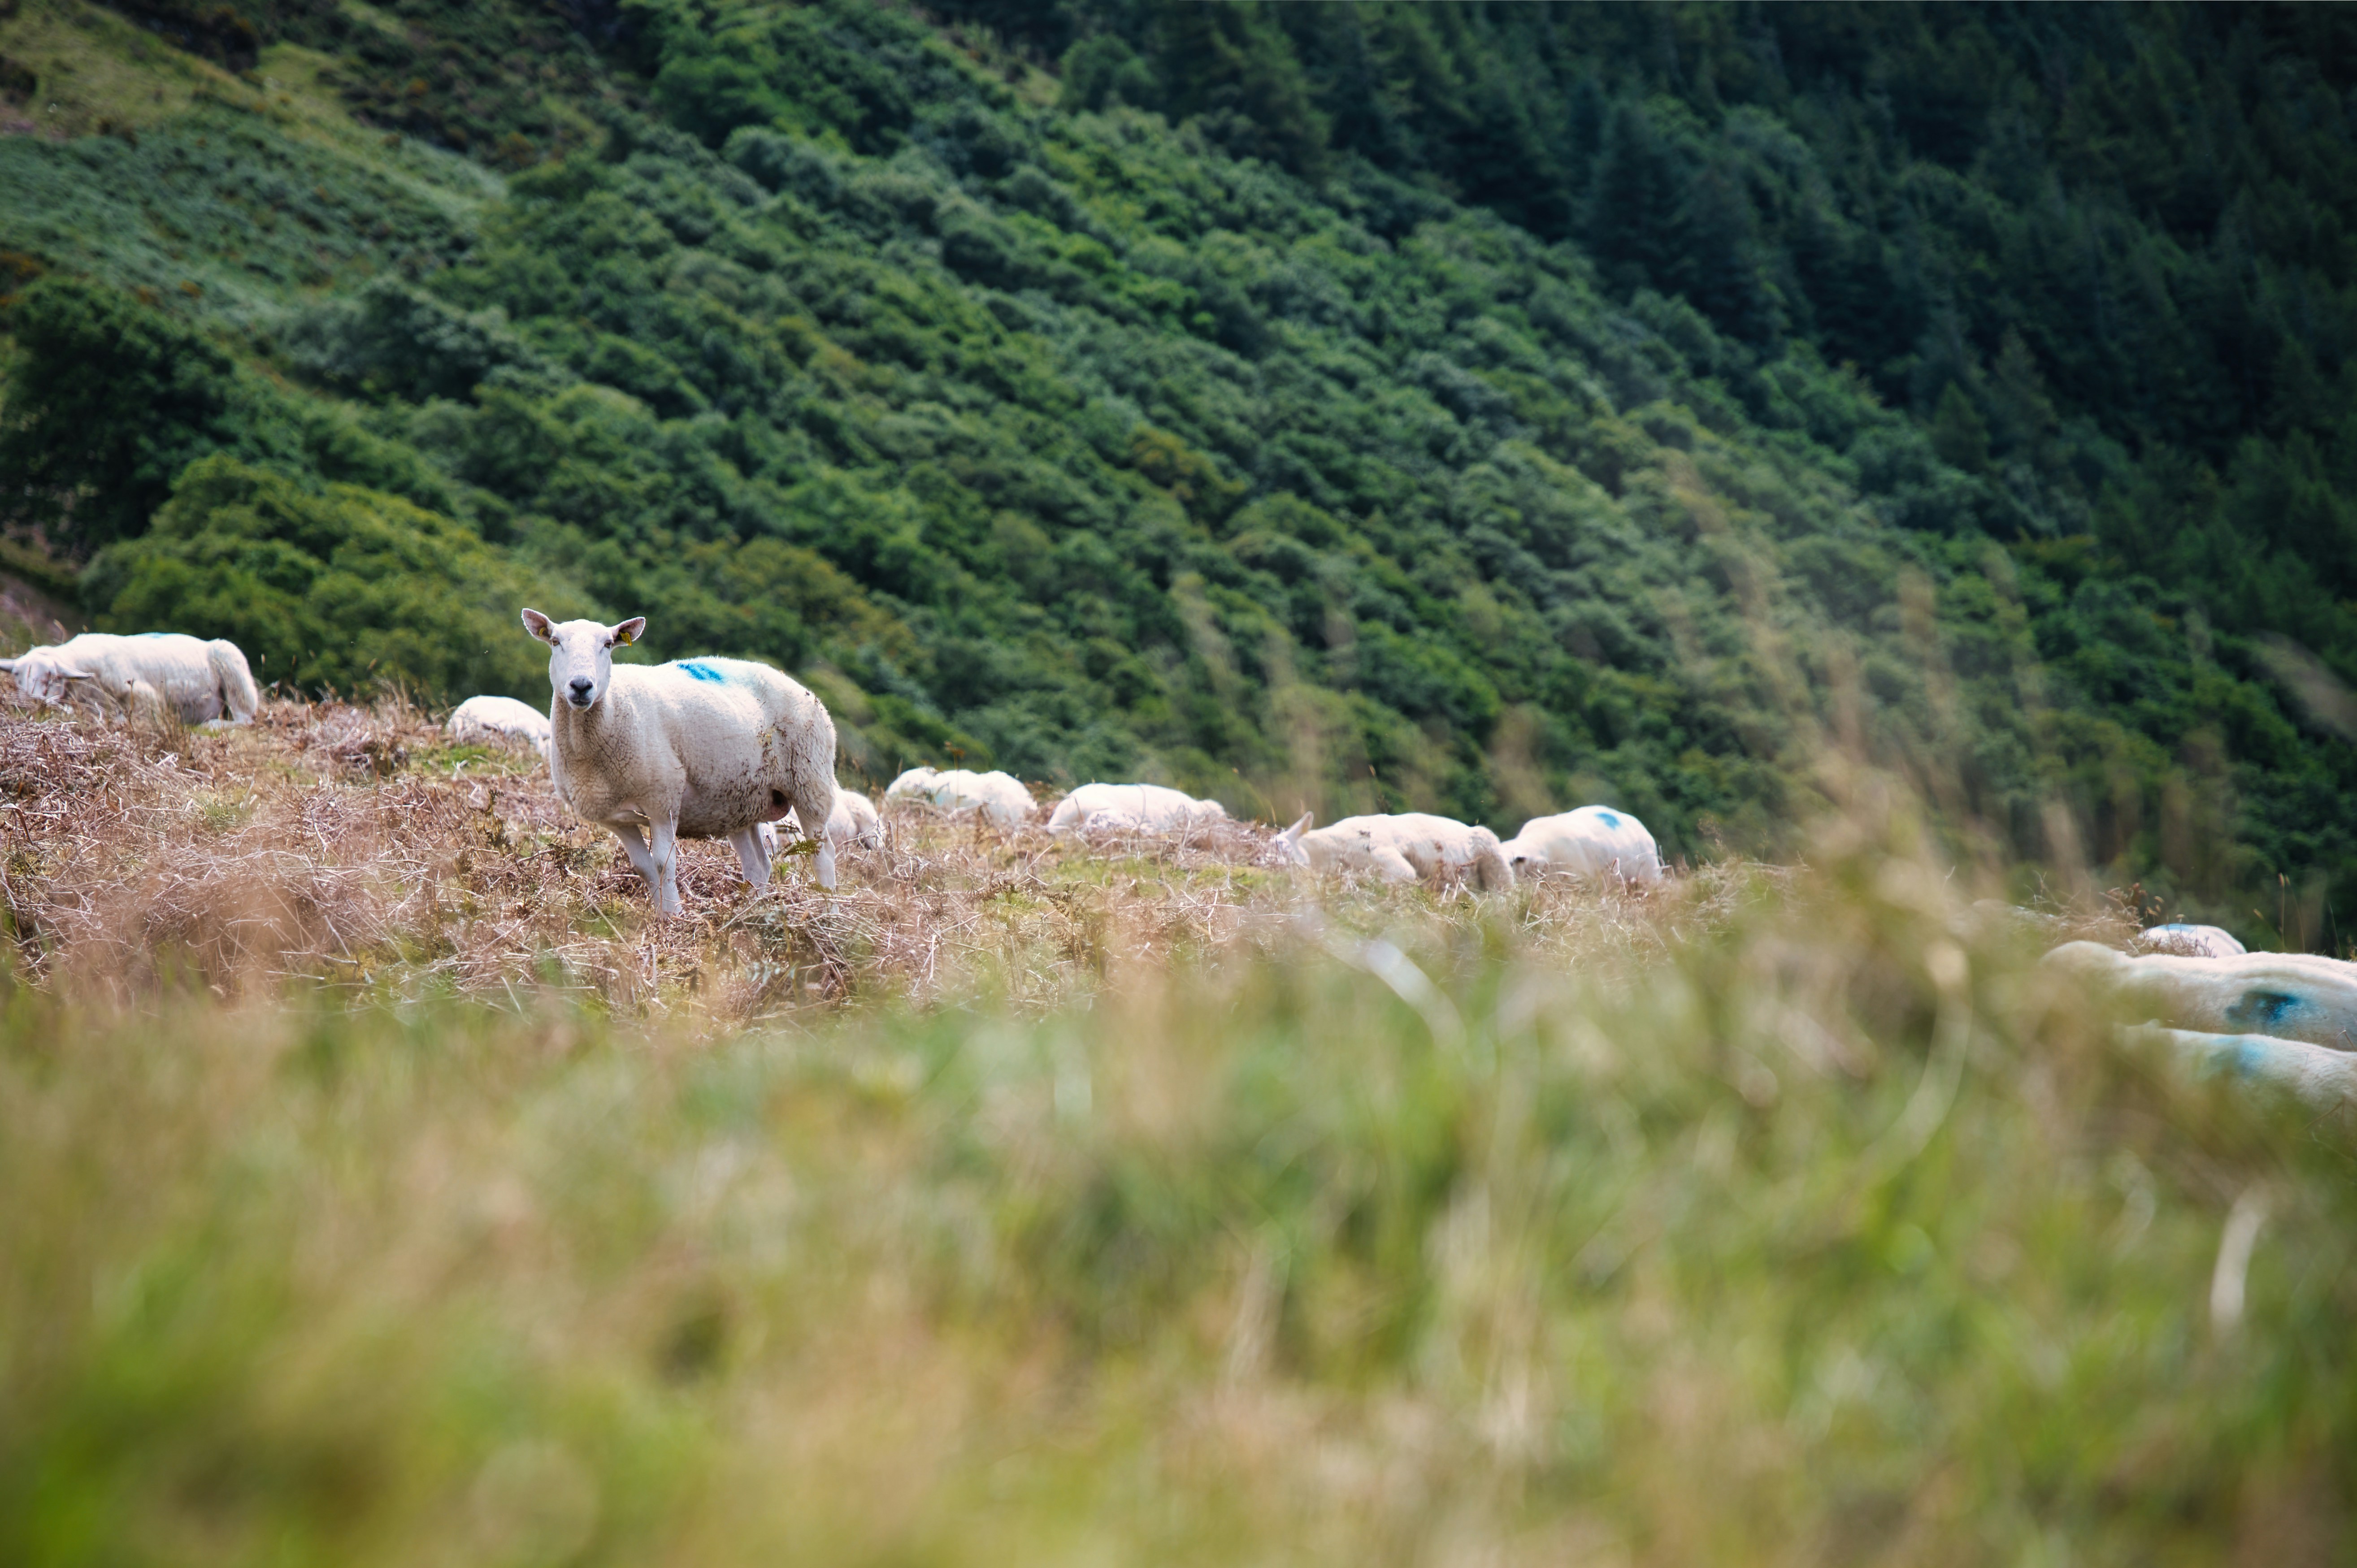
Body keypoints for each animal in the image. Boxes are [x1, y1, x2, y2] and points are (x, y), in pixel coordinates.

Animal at [0, 632, 258, 726]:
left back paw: (210, 725)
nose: (30, 704)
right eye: (17, 678)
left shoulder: (148, 702)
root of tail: (207, 643)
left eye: (51, 677)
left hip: (234, 672)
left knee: (245, 720)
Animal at [522, 610, 839, 915]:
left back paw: (830, 912)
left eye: (608, 644)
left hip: (810, 781)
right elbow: (644, 868)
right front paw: (661, 919)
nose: (581, 686)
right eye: (555, 642)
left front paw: (675, 918)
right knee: (758, 866)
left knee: (823, 854)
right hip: (740, 800)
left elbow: (664, 864)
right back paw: (751, 914)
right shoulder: (616, 818)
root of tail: (797, 686)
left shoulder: (663, 801)